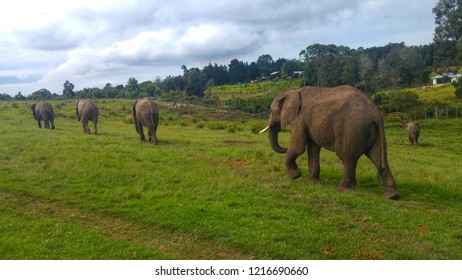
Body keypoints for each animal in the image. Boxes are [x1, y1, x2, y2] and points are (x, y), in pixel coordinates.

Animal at [262, 85, 398, 199]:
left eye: (271, 111)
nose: (285, 147)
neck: (294, 91)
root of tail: (376, 113)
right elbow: (313, 148)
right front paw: (312, 183)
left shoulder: (299, 118)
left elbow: (298, 146)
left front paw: (295, 176)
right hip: (370, 130)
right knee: (377, 156)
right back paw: (392, 196)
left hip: (352, 129)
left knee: (347, 157)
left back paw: (343, 190)